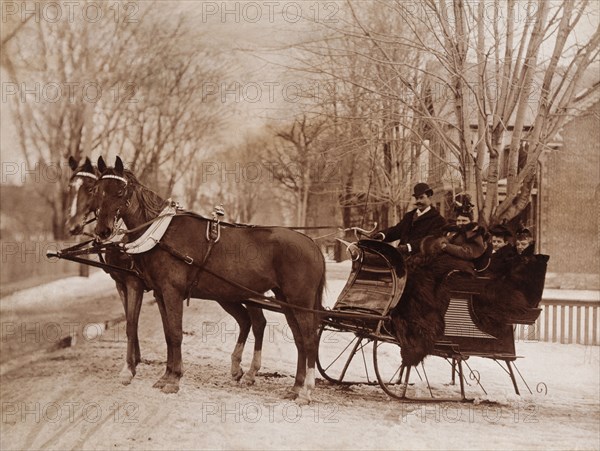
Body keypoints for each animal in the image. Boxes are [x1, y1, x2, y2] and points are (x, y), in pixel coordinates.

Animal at [65, 157, 268, 386]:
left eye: (90, 189)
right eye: (72, 188)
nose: (73, 226)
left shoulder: (135, 282)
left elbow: (134, 323)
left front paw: (131, 367)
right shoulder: (128, 284)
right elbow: (142, 324)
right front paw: (136, 362)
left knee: (258, 322)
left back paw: (252, 371)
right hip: (225, 295)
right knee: (244, 320)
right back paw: (236, 368)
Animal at [95, 156, 328, 402]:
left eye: (120, 191)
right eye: (97, 190)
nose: (103, 230)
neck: (161, 234)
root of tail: (312, 243)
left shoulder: (171, 291)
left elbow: (176, 334)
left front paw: (174, 379)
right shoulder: (160, 293)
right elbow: (167, 334)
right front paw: (165, 376)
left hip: (298, 301)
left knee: (308, 339)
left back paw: (306, 390)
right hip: (285, 300)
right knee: (298, 339)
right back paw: (295, 387)